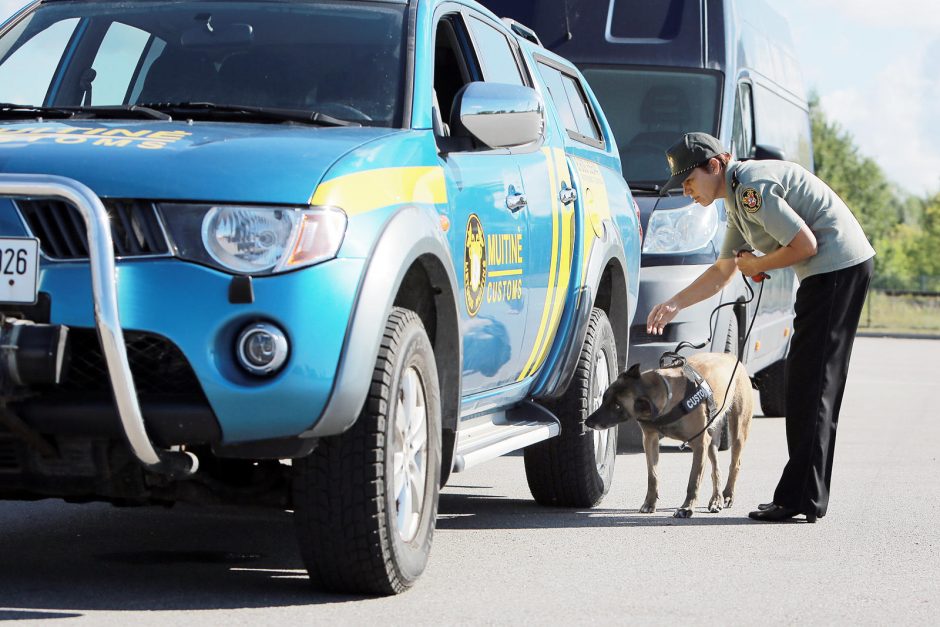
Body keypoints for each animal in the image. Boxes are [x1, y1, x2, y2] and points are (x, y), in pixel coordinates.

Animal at [588, 354, 748, 520]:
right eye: (605, 397)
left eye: (617, 406)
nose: (588, 422)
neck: (667, 396)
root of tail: (730, 356)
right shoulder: (650, 440)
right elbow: (652, 476)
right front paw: (649, 503)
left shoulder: (699, 444)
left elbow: (694, 480)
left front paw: (687, 508)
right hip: (710, 440)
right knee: (716, 469)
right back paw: (717, 499)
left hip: (737, 431)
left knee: (735, 464)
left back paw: (727, 495)